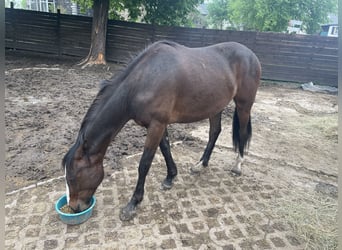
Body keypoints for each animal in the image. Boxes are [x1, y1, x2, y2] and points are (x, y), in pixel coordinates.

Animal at [62, 40, 260, 221]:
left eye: (72, 177)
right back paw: (200, 165)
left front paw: (133, 203)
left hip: (244, 105)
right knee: (214, 132)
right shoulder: (158, 125)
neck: (144, 80)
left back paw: (237, 165)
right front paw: (170, 177)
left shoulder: (157, 124)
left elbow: (144, 163)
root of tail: (251, 54)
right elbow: (165, 149)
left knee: (242, 133)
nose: (74, 207)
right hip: (215, 106)